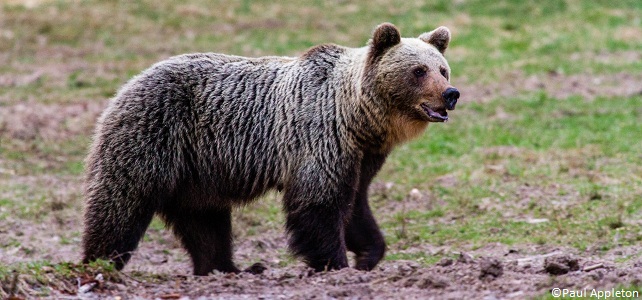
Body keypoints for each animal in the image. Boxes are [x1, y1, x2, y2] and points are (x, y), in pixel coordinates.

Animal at [82, 22, 458, 276]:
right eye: (418, 70)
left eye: (442, 69)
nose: (450, 94)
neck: (356, 116)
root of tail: (127, 84)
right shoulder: (319, 138)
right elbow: (318, 204)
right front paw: (334, 264)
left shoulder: (361, 156)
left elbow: (355, 204)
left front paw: (368, 254)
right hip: (153, 136)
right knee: (120, 205)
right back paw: (100, 264)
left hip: (197, 173)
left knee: (205, 223)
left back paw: (227, 269)